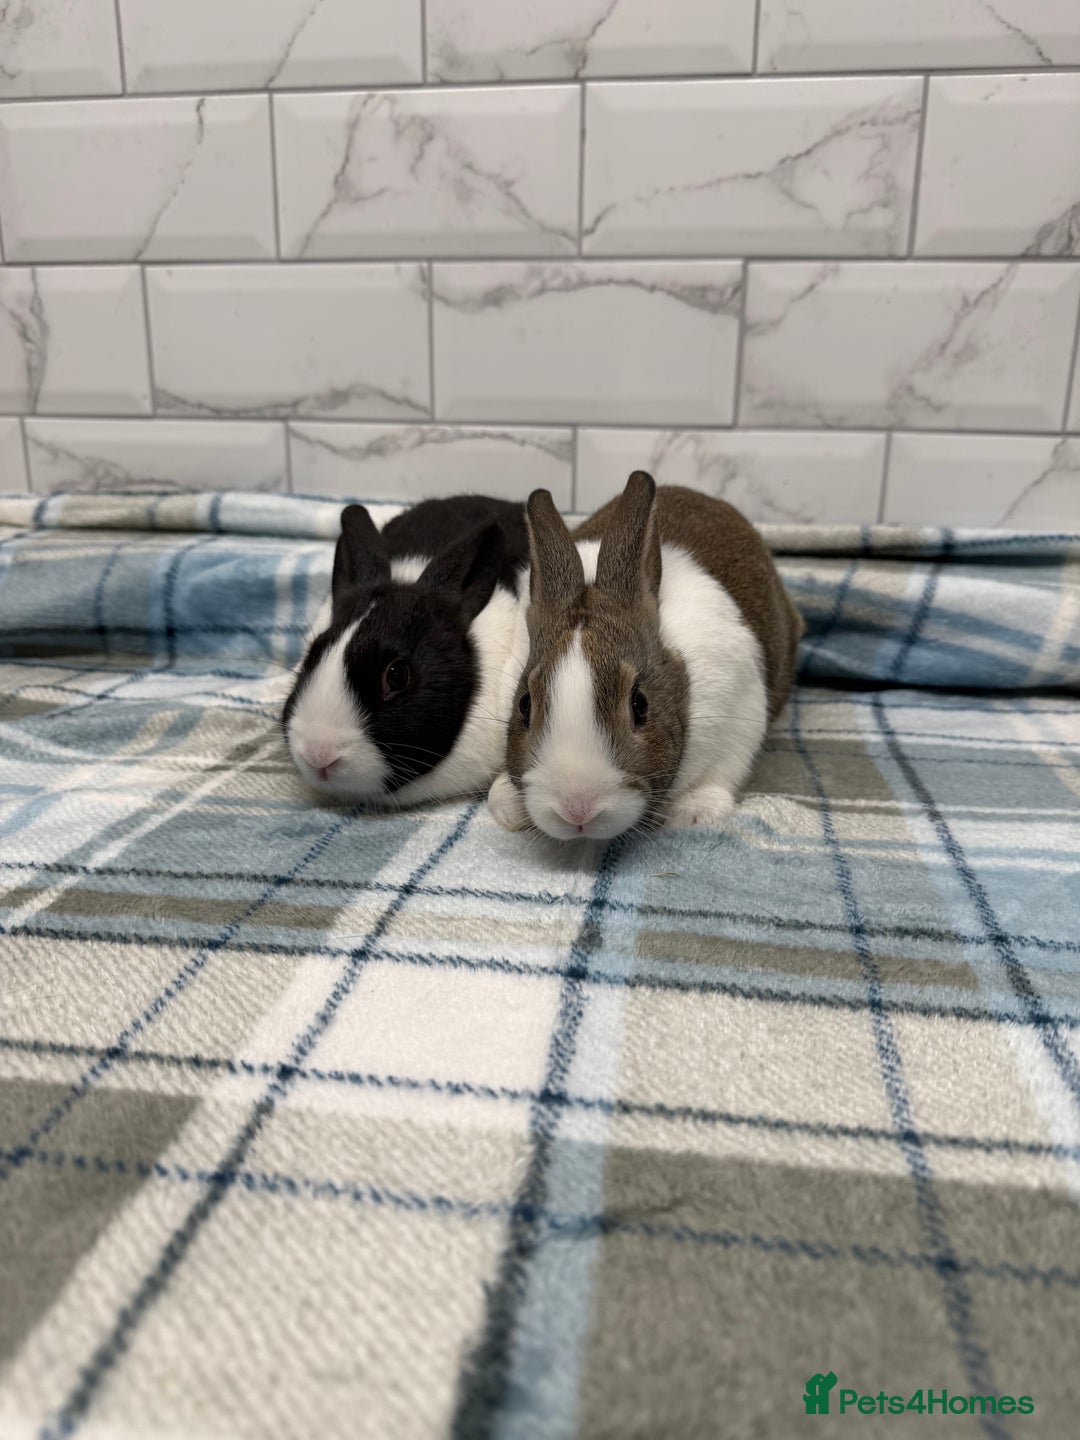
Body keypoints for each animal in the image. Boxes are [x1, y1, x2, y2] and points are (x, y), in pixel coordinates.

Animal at [488, 471, 803, 841]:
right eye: (524, 704)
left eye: (640, 705)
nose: (577, 809)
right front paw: (506, 804)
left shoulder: (742, 707)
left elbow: (724, 769)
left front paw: (694, 813)